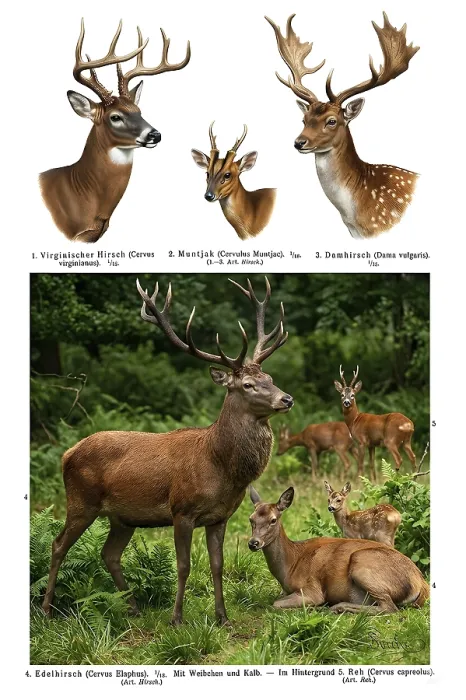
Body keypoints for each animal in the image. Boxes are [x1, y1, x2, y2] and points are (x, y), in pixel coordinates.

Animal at [42, 277, 293, 626]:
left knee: (109, 553)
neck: (221, 466)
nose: (287, 399)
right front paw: (176, 618)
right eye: (247, 385)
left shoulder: (220, 516)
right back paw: (46, 609)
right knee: (57, 545)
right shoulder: (181, 510)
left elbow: (217, 566)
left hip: (123, 517)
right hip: (81, 501)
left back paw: (132, 607)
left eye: (268, 377)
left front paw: (222, 617)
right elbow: (184, 566)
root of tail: (67, 453)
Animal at [248, 486, 428, 613]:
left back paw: (337, 607)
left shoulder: (312, 589)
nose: (253, 543)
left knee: (389, 607)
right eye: (251, 519)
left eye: (273, 520)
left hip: (362, 563)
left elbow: (275, 604)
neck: (290, 566)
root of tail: (420, 582)